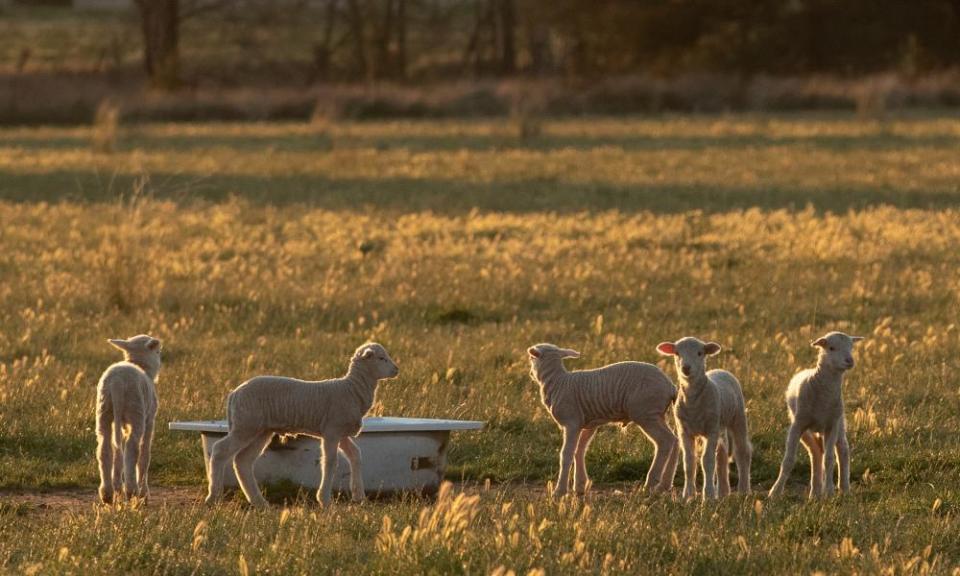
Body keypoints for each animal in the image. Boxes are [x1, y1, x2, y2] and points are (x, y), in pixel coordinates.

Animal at [95, 332, 161, 504]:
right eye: (158, 352)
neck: (140, 365)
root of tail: (117, 382)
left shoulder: (123, 425)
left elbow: (120, 451)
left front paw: (118, 487)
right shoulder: (150, 419)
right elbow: (145, 455)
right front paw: (144, 494)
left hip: (104, 410)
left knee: (105, 448)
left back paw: (108, 494)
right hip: (136, 410)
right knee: (133, 448)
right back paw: (132, 491)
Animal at [204, 342, 400, 508]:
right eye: (381, 358)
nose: (396, 370)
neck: (351, 389)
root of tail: (234, 393)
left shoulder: (341, 433)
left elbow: (355, 455)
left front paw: (359, 496)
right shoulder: (331, 431)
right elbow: (330, 462)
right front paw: (325, 500)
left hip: (261, 430)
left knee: (243, 461)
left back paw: (260, 503)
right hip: (246, 425)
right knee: (220, 450)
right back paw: (213, 497)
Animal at [528, 342, 680, 500]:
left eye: (532, 358)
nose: (530, 374)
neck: (558, 382)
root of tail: (671, 387)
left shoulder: (571, 423)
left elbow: (566, 454)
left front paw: (559, 491)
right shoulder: (588, 424)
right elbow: (579, 451)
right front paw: (580, 486)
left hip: (646, 413)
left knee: (665, 441)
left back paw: (650, 484)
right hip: (657, 414)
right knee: (675, 440)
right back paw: (664, 485)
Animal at [656, 338, 752, 500]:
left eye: (700, 353)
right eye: (677, 353)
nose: (686, 368)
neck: (693, 403)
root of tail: (721, 370)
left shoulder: (710, 430)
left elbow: (707, 461)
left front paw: (708, 495)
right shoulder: (684, 430)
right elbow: (689, 462)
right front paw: (688, 495)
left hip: (737, 417)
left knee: (742, 452)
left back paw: (743, 490)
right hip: (720, 426)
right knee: (721, 454)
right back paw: (723, 492)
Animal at [768, 330, 868, 498]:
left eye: (851, 347)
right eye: (831, 348)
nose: (849, 360)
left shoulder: (832, 425)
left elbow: (829, 458)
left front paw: (829, 491)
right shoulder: (797, 425)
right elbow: (788, 460)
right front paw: (775, 492)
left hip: (840, 423)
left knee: (843, 450)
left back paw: (844, 488)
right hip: (804, 428)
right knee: (815, 452)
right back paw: (815, 492)